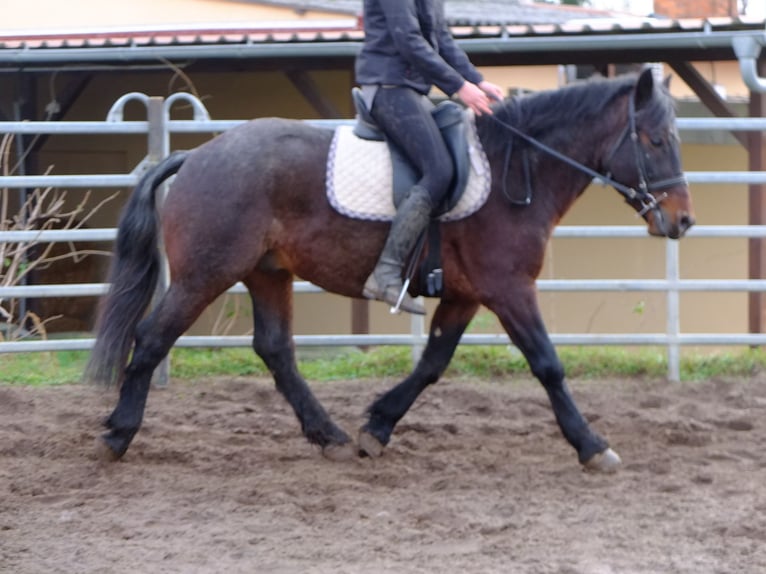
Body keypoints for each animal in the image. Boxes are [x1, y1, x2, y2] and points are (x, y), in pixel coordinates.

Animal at [85, 67, 696, 472]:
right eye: (656, 140)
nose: (682, 220)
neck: (514, 169)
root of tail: (197, 156)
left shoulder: (466, 294)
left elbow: (432, 364)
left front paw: (376, 425)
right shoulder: (508, 288)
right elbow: (548, 365)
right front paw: (592, 446)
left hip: (267, 272)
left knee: (276, 350)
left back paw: (328, 434)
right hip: (205, 274)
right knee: (152, 336)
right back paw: (117, 434)